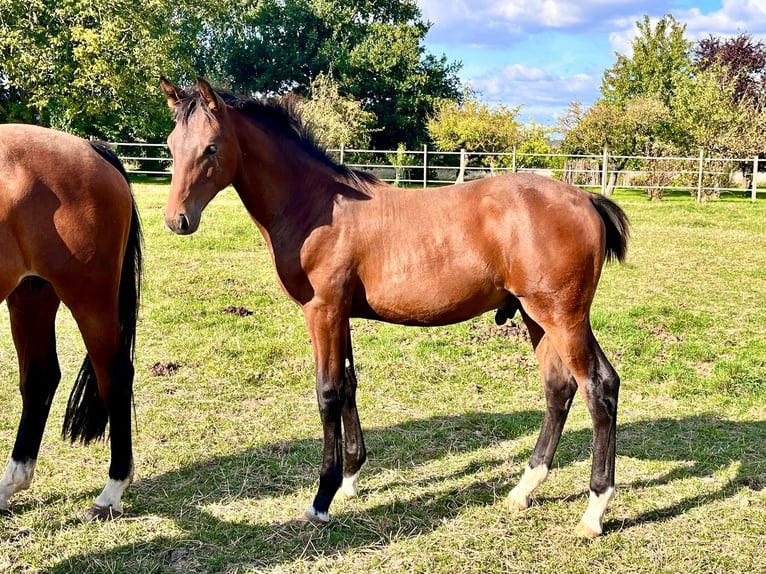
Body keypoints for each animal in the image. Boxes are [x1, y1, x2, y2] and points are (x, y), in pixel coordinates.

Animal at [0, 126, 142, 520]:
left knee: (115, 377)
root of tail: (91, 149)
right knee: (40, 379)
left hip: (88, 297)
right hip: (32, 292)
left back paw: (110, 493)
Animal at [160, 77, 632, 540]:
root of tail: (587, 199)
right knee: (560, 388)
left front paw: (322, 498)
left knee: (598, 387)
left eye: (211, 147)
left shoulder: (323, 311)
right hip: (538, 318)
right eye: (171, 145)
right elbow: (348, 384)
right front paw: (350, 479)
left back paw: (594, 511)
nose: (177, 221)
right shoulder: (341, 315)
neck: (315, 205)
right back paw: (524, 488)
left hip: (563, 317)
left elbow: (328, 392)